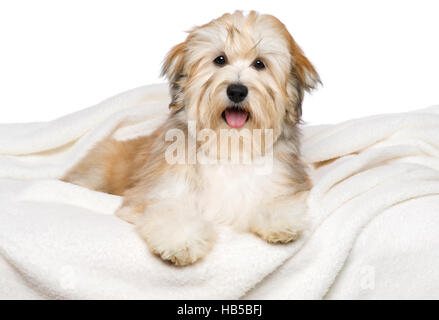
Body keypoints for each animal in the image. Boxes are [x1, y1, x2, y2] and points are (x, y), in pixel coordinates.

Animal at [62, 10, 320, 264]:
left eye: (259, 64)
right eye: (220, 60)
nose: (237, 90)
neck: (229, 147)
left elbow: (275, 200)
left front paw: (281, 221)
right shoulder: (156, 191)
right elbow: (170, 210)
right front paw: (180, 240)